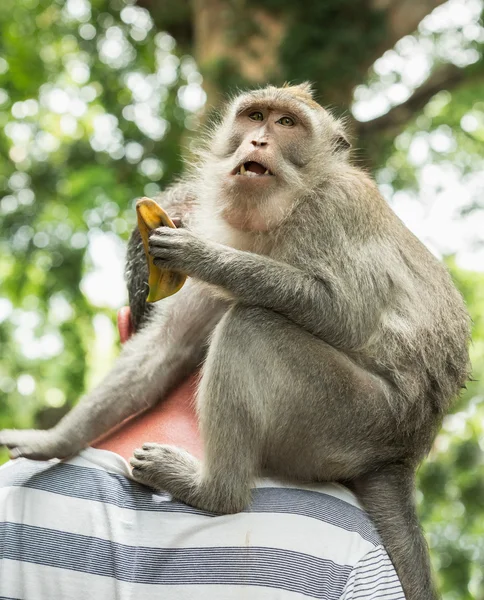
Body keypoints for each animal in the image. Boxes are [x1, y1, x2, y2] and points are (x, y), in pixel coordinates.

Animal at [0, 81, 468, 600]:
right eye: (256, 116)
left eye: (287, 124)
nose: (258, 141)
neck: (284, 211)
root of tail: (406, 449)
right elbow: (168, 346)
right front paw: (53, 440)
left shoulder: (336, 207)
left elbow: (343, 313)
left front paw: (202, 256)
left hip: (357, 417)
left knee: (252, 326)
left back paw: (215, 493)